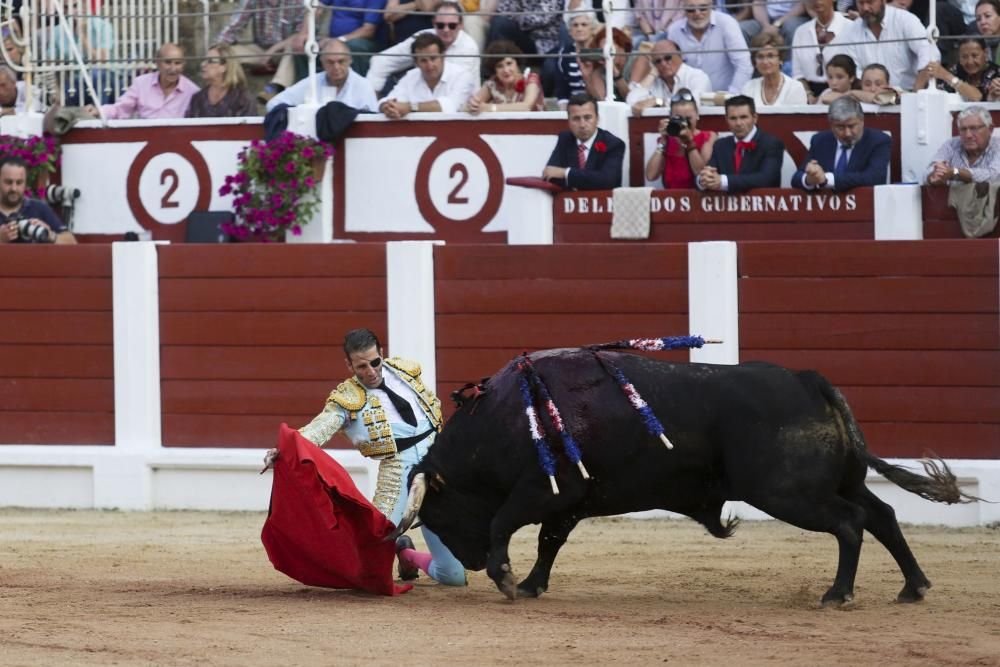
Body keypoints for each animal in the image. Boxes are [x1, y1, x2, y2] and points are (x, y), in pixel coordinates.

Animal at [390, 350, 976, 604]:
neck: (504, 420)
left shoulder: (542, 490)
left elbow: (503, 524)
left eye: (438, 512)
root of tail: (809, 380)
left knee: (852, 523)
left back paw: (838, 594)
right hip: (837, 482)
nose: (465, 564)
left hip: (789, 493)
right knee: (882, 515)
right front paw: (532, 583)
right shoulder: (571, 501)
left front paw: (508, 579)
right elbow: (549, 543)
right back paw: (914, 587)